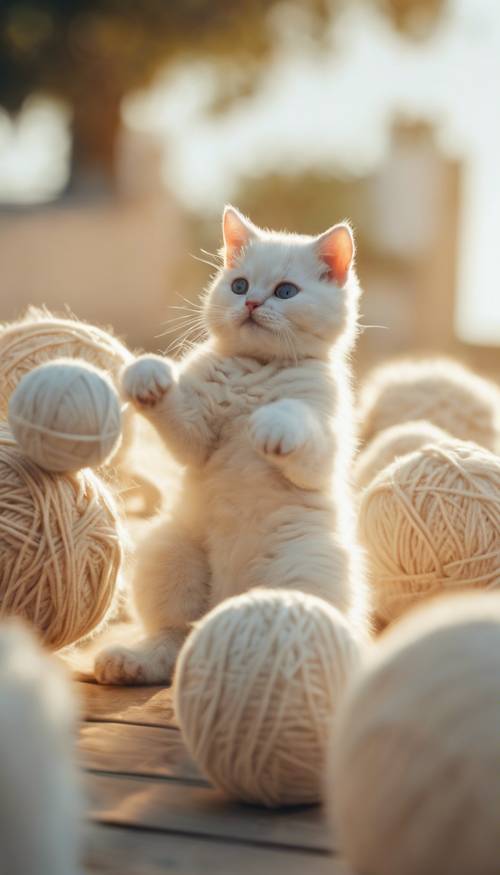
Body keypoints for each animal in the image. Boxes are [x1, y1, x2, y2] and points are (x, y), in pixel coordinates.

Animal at [94, 207, 368, 684]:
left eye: (285, 291)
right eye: (239, 285)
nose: (252, 303)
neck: (256, 368)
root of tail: (227, 599)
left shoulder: (326, 446)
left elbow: (301, 428)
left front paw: (272, 425)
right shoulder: (197, 435)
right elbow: (182, 420)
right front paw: (148, 375)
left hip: (308, 565)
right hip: (169, 550)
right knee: (175, 637)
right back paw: (132, 661)